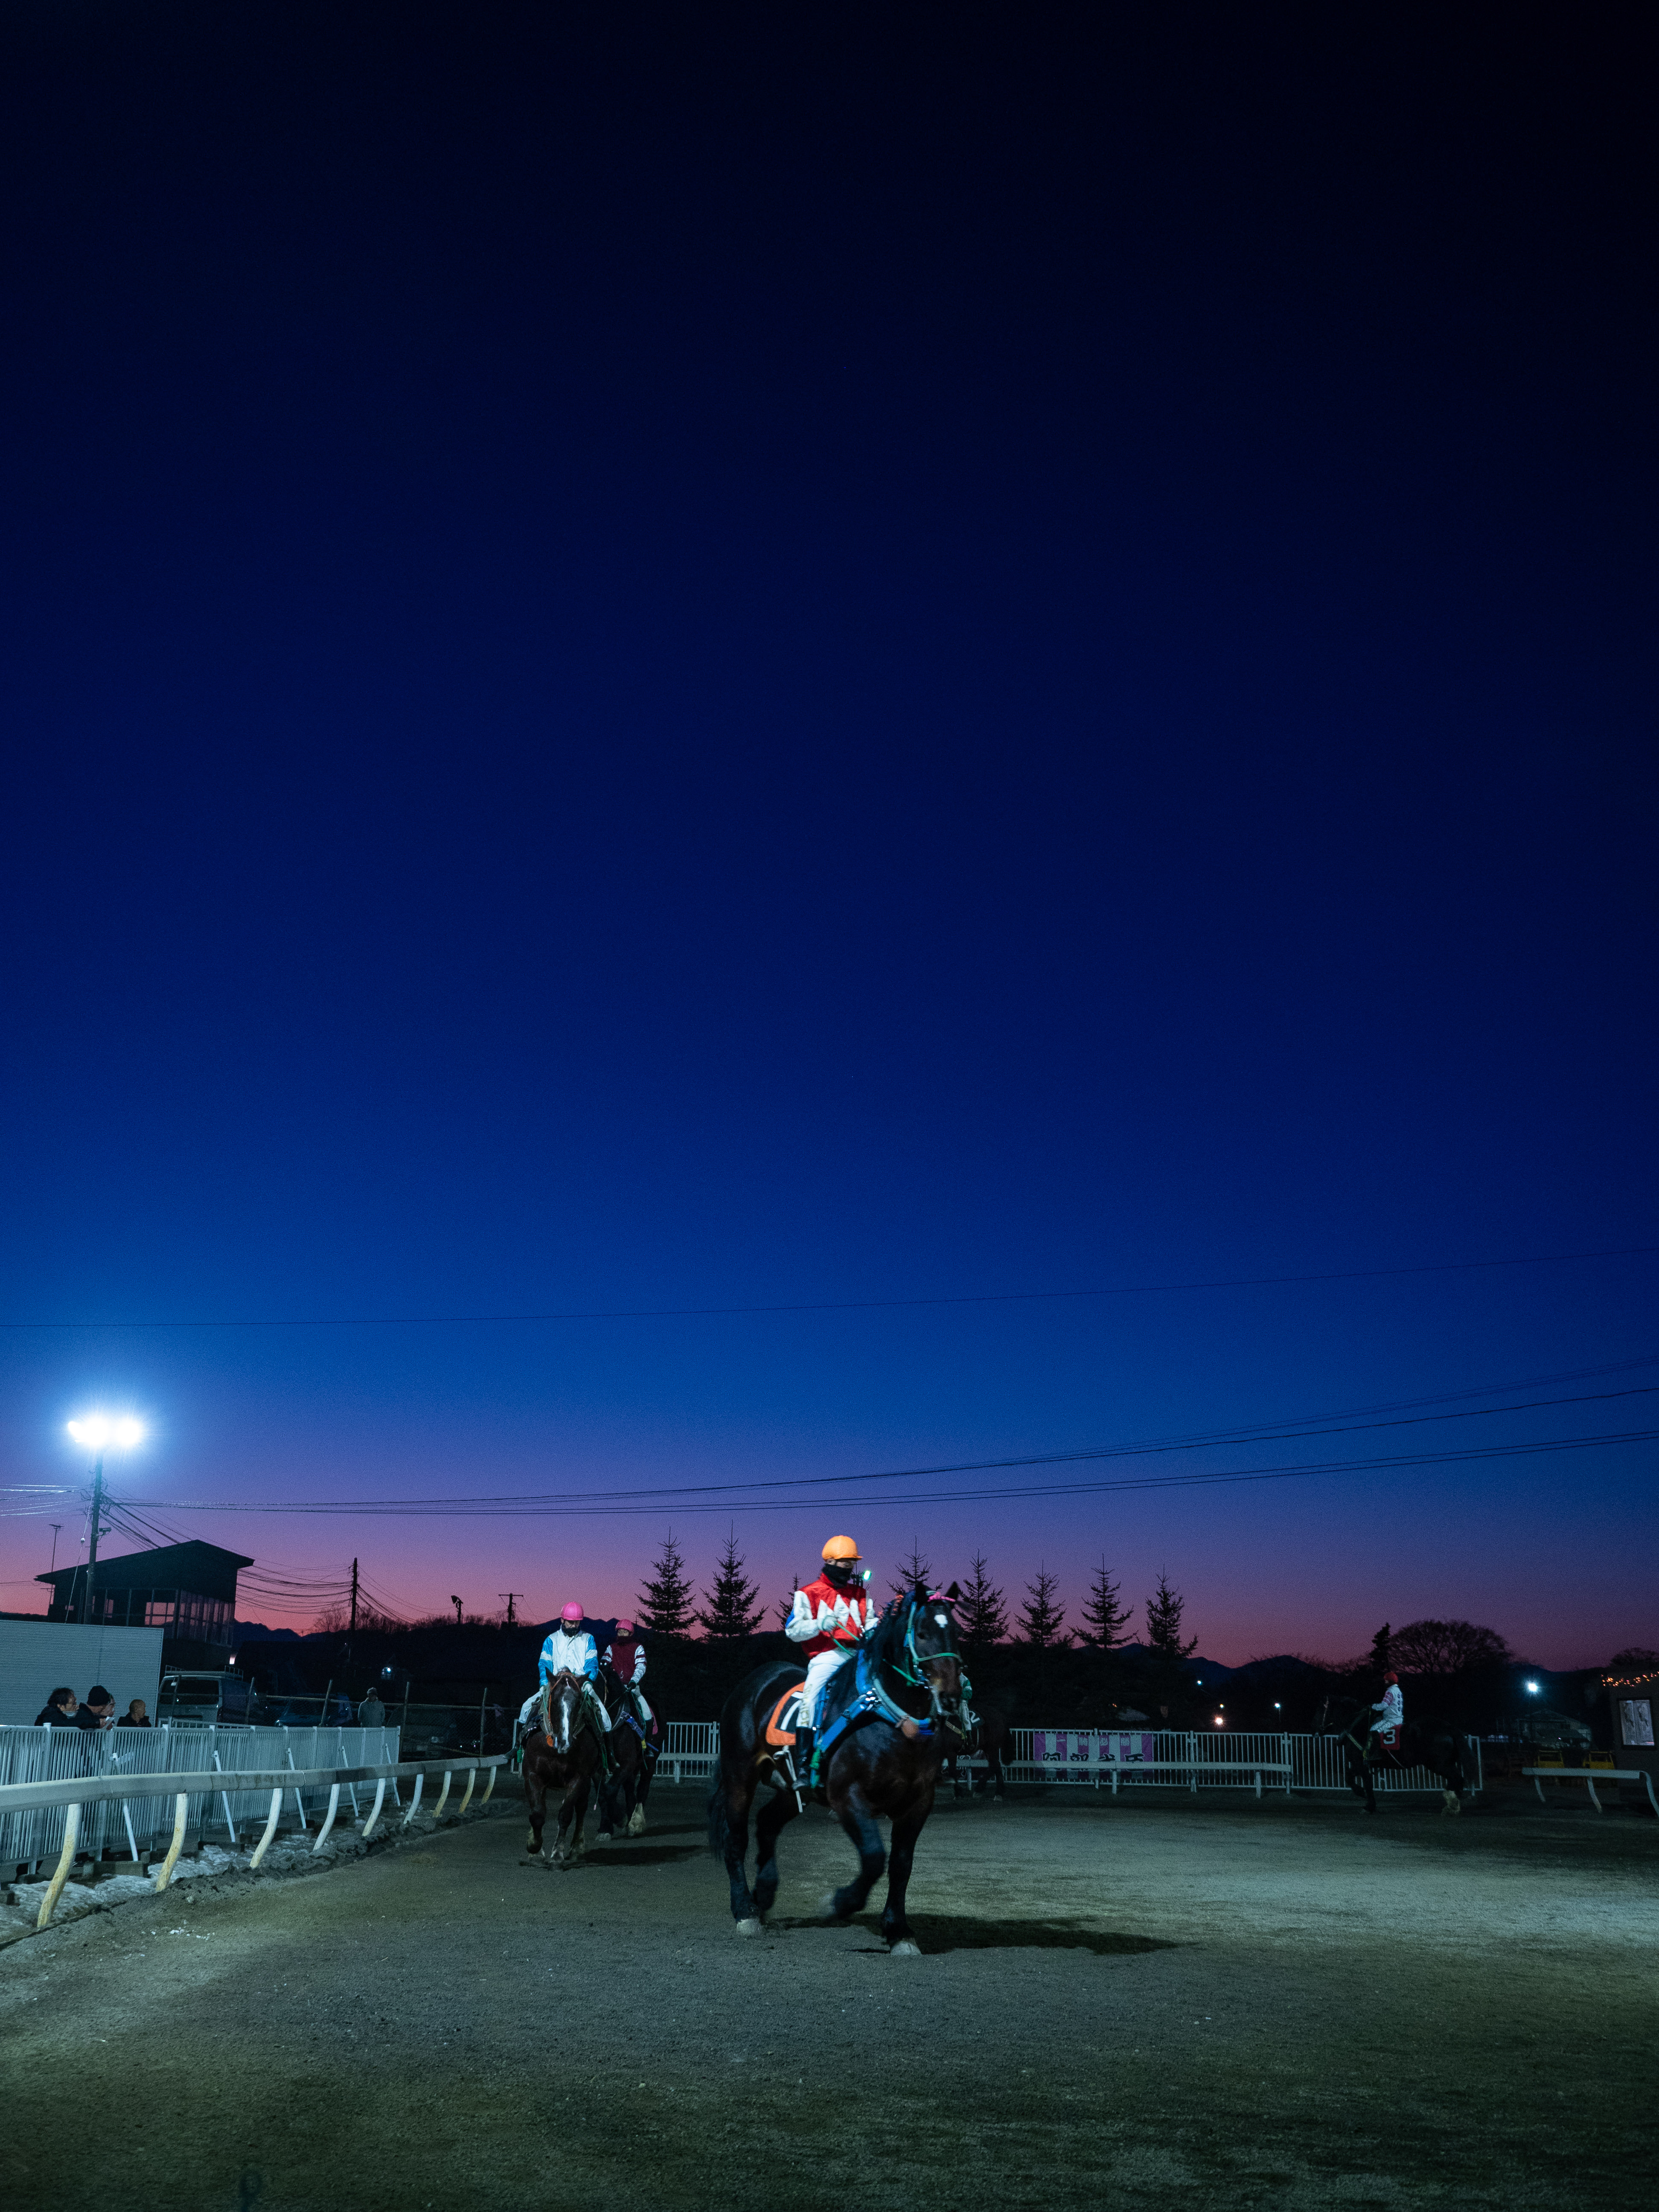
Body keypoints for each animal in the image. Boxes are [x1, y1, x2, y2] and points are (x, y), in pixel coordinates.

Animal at [708, 1588, 968, 1953]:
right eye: (922, 1633)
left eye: (956, 1633)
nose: (950, 1696)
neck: (890, 1720)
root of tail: (755, 1681)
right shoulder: (848, 1796)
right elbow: (874, 1857)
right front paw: (840, 1903)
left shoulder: (918, 1802)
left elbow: (901, 1864)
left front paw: (899, 1930)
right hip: (739, 1777)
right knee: (736, 1839)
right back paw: (745, 1910)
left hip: (793, 1789)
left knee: (768, 1823)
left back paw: (764, 1894)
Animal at [1317, 1693, 1468, 1814]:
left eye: (1320, 1710)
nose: (1317, 1729)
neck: (1358, 1726)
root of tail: (1448, 1727)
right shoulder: (1361, 1764)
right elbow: (1350, 1777)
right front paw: (1364, 1797)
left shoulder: (1361, 1764)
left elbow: (1364, 1783)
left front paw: (1368, 1804)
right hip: (1443, 1764)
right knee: (1456, 1779)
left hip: (1439, 1765)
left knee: (1457, 1778)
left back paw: (1452, 1806)